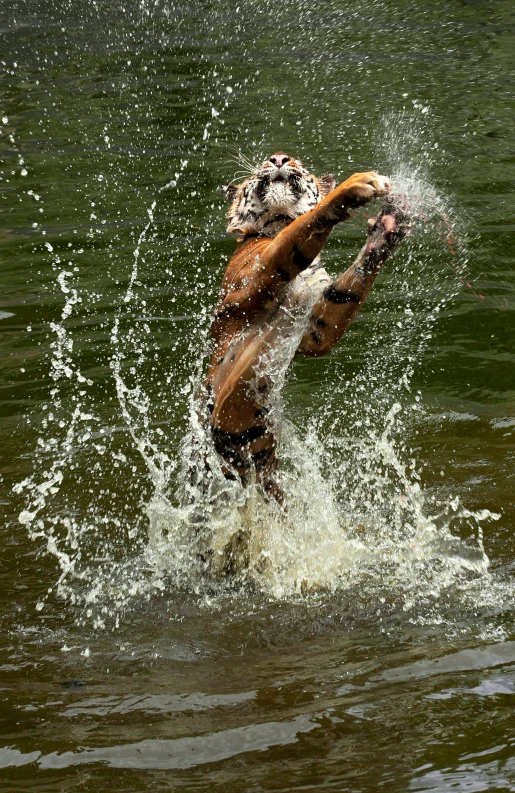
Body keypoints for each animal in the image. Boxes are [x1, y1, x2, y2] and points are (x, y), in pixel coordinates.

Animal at [204, 152, 410, 504]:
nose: (278, 158)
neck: (277, 220)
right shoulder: (259, 271)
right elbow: (305, 224)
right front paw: (359, 184)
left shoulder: (315, 326)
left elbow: (346, 293)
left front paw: (387, 228)